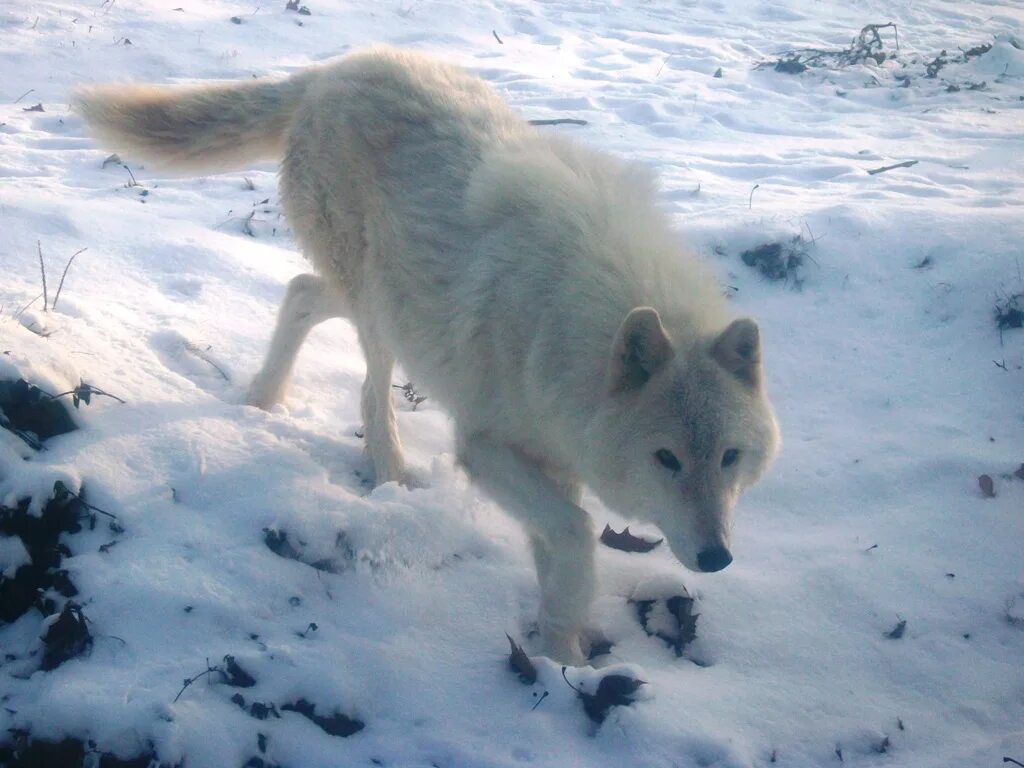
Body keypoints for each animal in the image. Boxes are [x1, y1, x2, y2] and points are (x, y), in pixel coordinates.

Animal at [75, 48, 780, 664]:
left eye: (729, 457)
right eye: (666, 459)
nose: (717, 558)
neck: (572, 327)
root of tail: (333, 69)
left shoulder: (557, 456)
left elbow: (555, 552)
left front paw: (563, 654)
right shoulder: (487, 447)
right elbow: (577, 534)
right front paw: (566, 656)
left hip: (374, 299)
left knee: (300, 293)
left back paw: (264, 400)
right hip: (383, 310)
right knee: (365, 386)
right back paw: (387, 471)